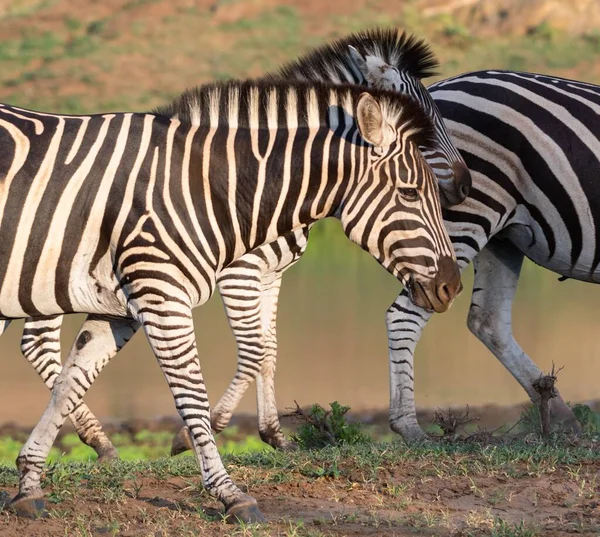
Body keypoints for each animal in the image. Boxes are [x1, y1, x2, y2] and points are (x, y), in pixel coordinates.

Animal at [2, 76, 460, 520]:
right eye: (409, 193)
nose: (452, 286)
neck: (208, 189)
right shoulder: (168, 295)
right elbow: (195, 394)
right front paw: (228, 492)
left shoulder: (119, 309)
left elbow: (69, 384)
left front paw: (29, 483)